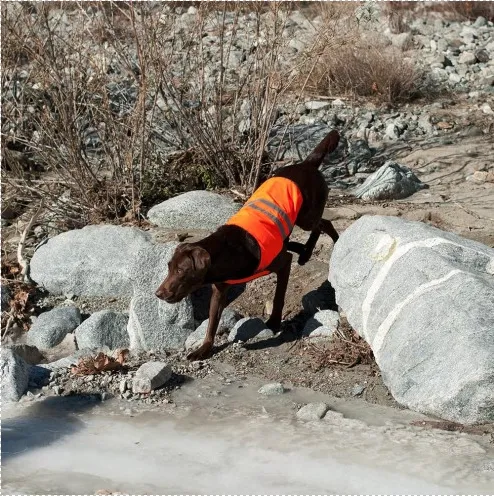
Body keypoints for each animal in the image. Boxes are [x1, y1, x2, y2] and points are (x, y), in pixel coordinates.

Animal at [156, 130, 342, 358]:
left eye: (182, 271)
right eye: (169, 268)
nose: (158, 294)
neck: (226, 252)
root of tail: (307, 163)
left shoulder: (282, 263)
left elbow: (279, 295)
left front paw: (274, 322)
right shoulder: (220, 289)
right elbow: (212, 323)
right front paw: (204, 349)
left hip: (306, 216)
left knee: (323, 224)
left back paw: (318, 248)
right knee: (303, 234)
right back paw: (304, 249)